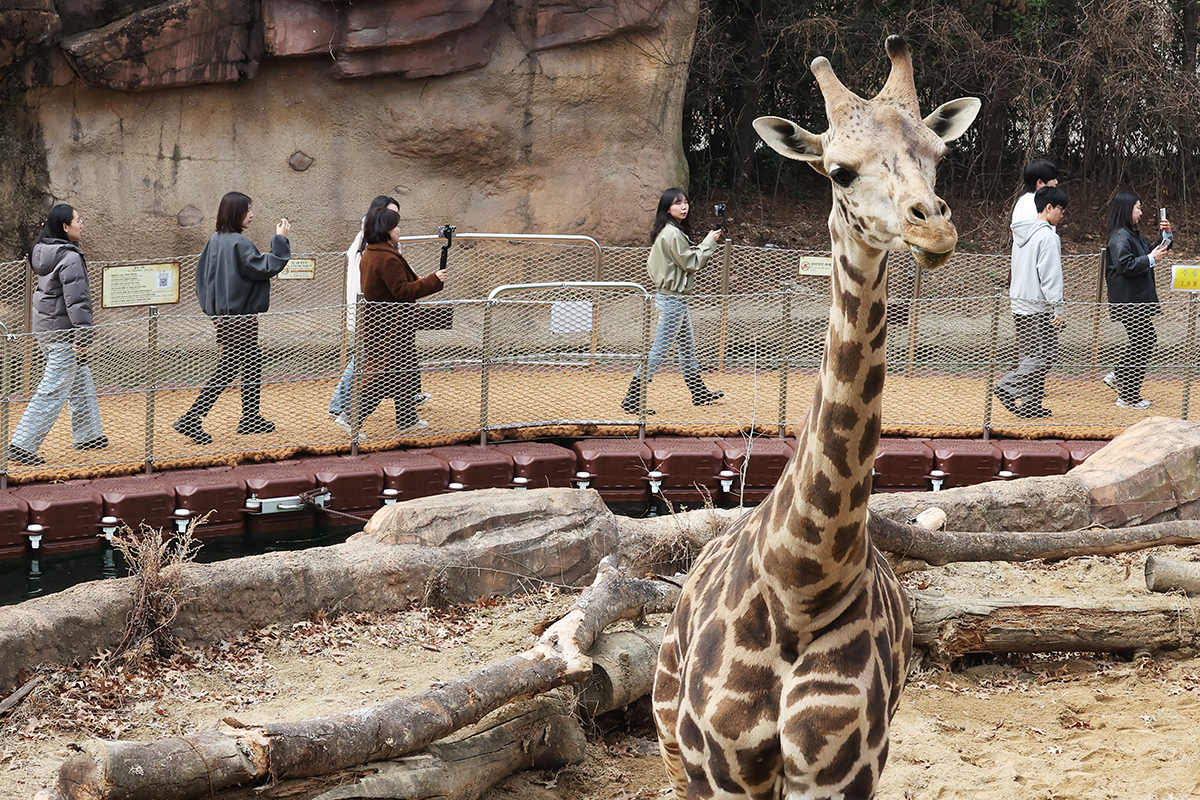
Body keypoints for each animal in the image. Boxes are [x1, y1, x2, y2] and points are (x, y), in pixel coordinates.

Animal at [652, 37, 979, 800]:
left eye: (938, 154)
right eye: (838, 170)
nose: (934, 225)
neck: (801, 582)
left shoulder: (840, 775)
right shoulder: (721, 771)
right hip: (670, 740)